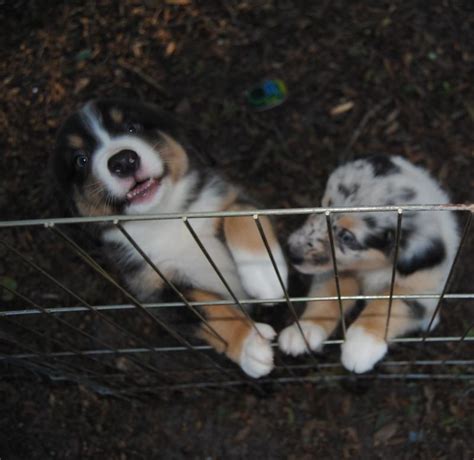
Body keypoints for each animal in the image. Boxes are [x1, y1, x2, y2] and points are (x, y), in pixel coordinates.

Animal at [52, 97, 288, 378]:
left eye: (132, 127)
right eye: (81, 160)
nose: (123, 161)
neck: (165, 218)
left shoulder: (229, 199)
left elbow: (239, 216)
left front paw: (265, 276)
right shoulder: (153, 286)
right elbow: (206, 311)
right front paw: (249, 343)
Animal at [278, 156, 460, 372]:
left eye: (347, 237)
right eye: (321, 207)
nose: (291, 252)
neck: (373, 268)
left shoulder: (420, 290)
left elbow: (386, 306)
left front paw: (361, 345)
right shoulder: (338, 272)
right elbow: (326, 297)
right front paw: (305, 329)